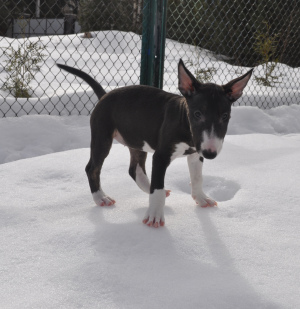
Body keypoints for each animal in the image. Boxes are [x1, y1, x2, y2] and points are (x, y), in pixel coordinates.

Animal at [56, 61, 253, 227]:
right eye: (197, 114)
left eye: (225, 116)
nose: (210, 153)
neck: (185, 123)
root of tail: (105, 96)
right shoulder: (161, 156)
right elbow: (157, 188)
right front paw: (155, 216)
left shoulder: (196, 153)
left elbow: (197, 178)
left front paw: (201, 198)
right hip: (102, 136)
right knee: (92, 167)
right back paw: (100, 198)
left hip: (136, 140)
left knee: (134, 169)